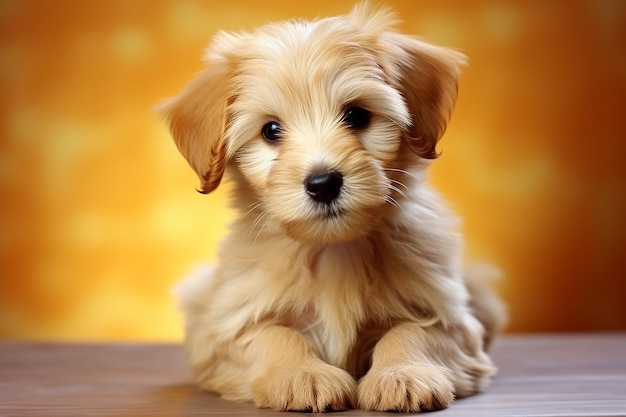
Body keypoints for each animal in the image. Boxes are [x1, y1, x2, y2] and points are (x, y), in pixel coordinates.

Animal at [161, 2, 502, 412]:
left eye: (356, 115)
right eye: (271, 130)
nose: (323, 183)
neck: (335, 248)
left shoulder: (453, 320)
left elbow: (413, 332)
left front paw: (402, 375)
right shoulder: (222, 330)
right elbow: (273, 336)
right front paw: (302, 375)